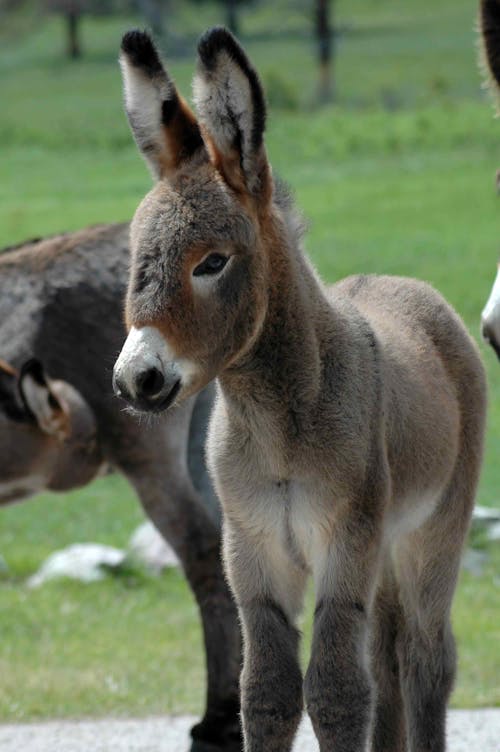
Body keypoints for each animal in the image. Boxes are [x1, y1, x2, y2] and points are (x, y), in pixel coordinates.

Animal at [114, 26, 488, 748]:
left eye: (212, 263)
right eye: (134, 259)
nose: (134, 380)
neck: (275, 426)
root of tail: (405, 284)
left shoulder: (345, 542)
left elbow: (337, 691)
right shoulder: (252, 555)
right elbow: (267, 692)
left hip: (431, 530)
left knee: (425, 657)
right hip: (383, 549)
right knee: (387, 658)